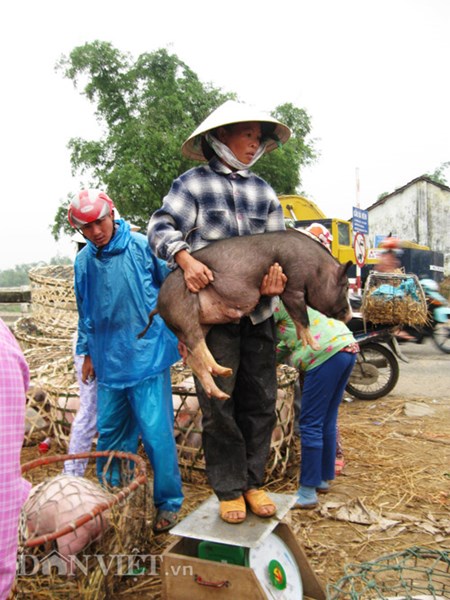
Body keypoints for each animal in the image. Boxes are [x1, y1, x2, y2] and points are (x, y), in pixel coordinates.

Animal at [142, 232, 354, 400]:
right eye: (345, 286)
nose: (351, 315)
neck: (316, 268)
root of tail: (158, 305)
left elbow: (298, 320)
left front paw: (305, 341)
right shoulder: (293, 287)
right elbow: (302, 316)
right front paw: (315, 346)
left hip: (198, 324)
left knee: (195, 359)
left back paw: (221, 391)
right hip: (183, 313)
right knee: (198, 347)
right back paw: (223, 371)